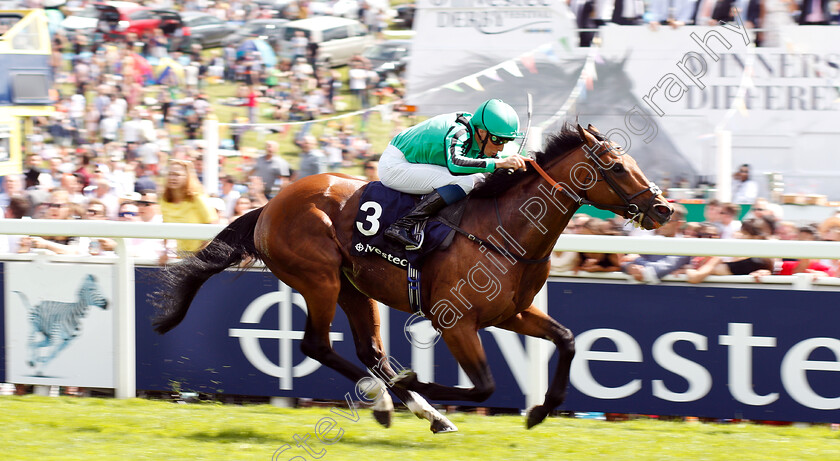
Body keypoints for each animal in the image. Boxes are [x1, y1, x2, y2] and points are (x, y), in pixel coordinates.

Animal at [151, 122, 672, 432]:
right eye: (618, 167)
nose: (664, 208)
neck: (504, 230)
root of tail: (271, 204)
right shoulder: (455, 321)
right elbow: (483, 386)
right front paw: (417, 383)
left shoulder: (513, 312)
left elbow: (567, 340)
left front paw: (542, 409)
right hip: (319, 279)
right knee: (317, 345)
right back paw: (391, 401)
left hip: (353, 287)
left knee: (369, 352)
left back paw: (417, 409)